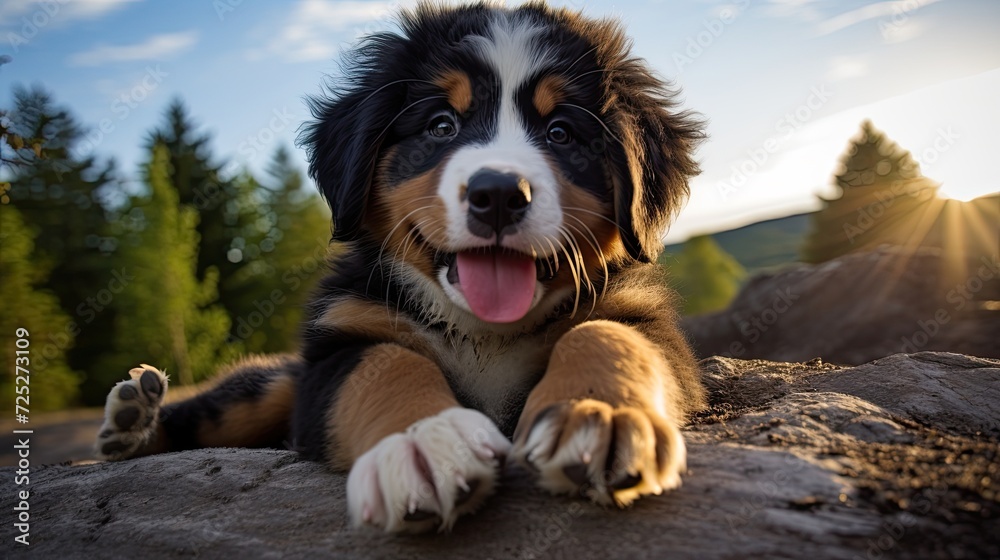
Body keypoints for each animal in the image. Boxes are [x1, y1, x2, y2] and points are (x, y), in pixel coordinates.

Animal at [94, 0, 704, 532]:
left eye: (560, 132)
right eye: (441, 126)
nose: (499, 194)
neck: (483, 332)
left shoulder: (644, 320)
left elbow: (606, 334)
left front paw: (599, 417)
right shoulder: (340, 341)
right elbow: (387, 363)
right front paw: (425, 442)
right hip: (279, 382)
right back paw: (134, 418)